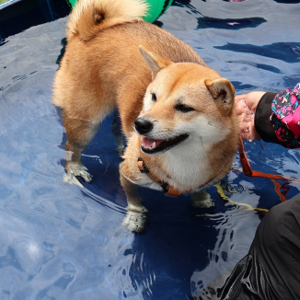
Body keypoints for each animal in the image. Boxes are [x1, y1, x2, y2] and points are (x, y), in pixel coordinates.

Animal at [52, 0, 239, 233]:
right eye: (153, 97)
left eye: (184, 107)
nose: (140, 124)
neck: (184, 160)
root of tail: (88, 31)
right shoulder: (127, 174)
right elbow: (134, 200)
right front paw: (135, 217)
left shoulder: (206, 179)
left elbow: (200, 191)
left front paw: (202, 202)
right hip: (86, 123)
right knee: (72, 147)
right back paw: (75, 169)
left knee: (115, 126)